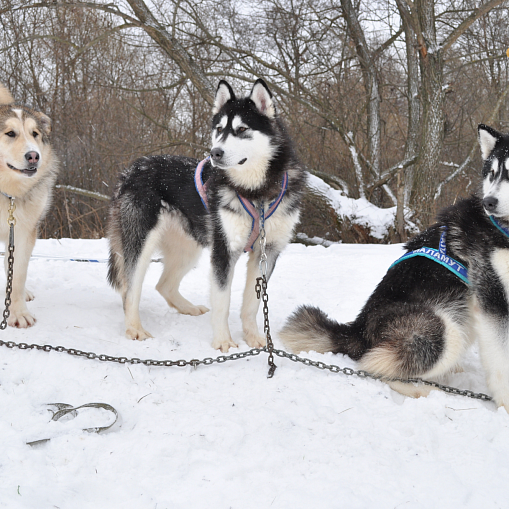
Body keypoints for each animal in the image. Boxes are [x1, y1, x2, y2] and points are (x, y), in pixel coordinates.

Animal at [106, 78, 304, 350]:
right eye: (219, 129)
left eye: (242, 129)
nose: (215, 153)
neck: (256, 192)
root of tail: (131, 170)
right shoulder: (223, 251)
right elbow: (222, 302)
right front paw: (223, 341)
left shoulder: (268, 251)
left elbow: (252, 305)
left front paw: (254, 338)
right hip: (141, 243)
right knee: (130, 290)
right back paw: (134, 328)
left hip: (189, 248)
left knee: (163, 285)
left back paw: (187, 308)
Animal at [280, 124, 509, 412]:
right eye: (493, 173)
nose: (489, 202)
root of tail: (357, 329)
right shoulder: (493, 299)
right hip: (441, 330)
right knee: (371, 366)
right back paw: (423, 389)